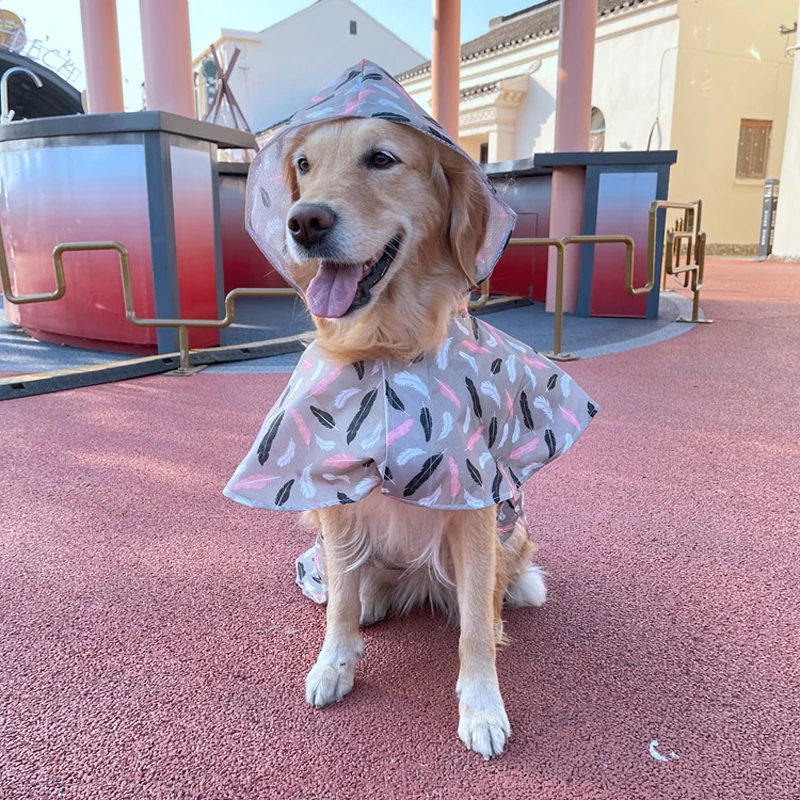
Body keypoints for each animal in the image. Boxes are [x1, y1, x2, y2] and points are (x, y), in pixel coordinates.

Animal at [278, 117, 548, 756]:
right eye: (303, 165)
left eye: (382, 159)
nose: (304, 222)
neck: (386, 352)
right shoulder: (334, 493)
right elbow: (338, 608)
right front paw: (334, 665)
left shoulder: (474, 507)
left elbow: (473, 630)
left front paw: (482, 708)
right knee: (353, 584)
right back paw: (371, 600)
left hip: (511, 535)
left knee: (493, 597)